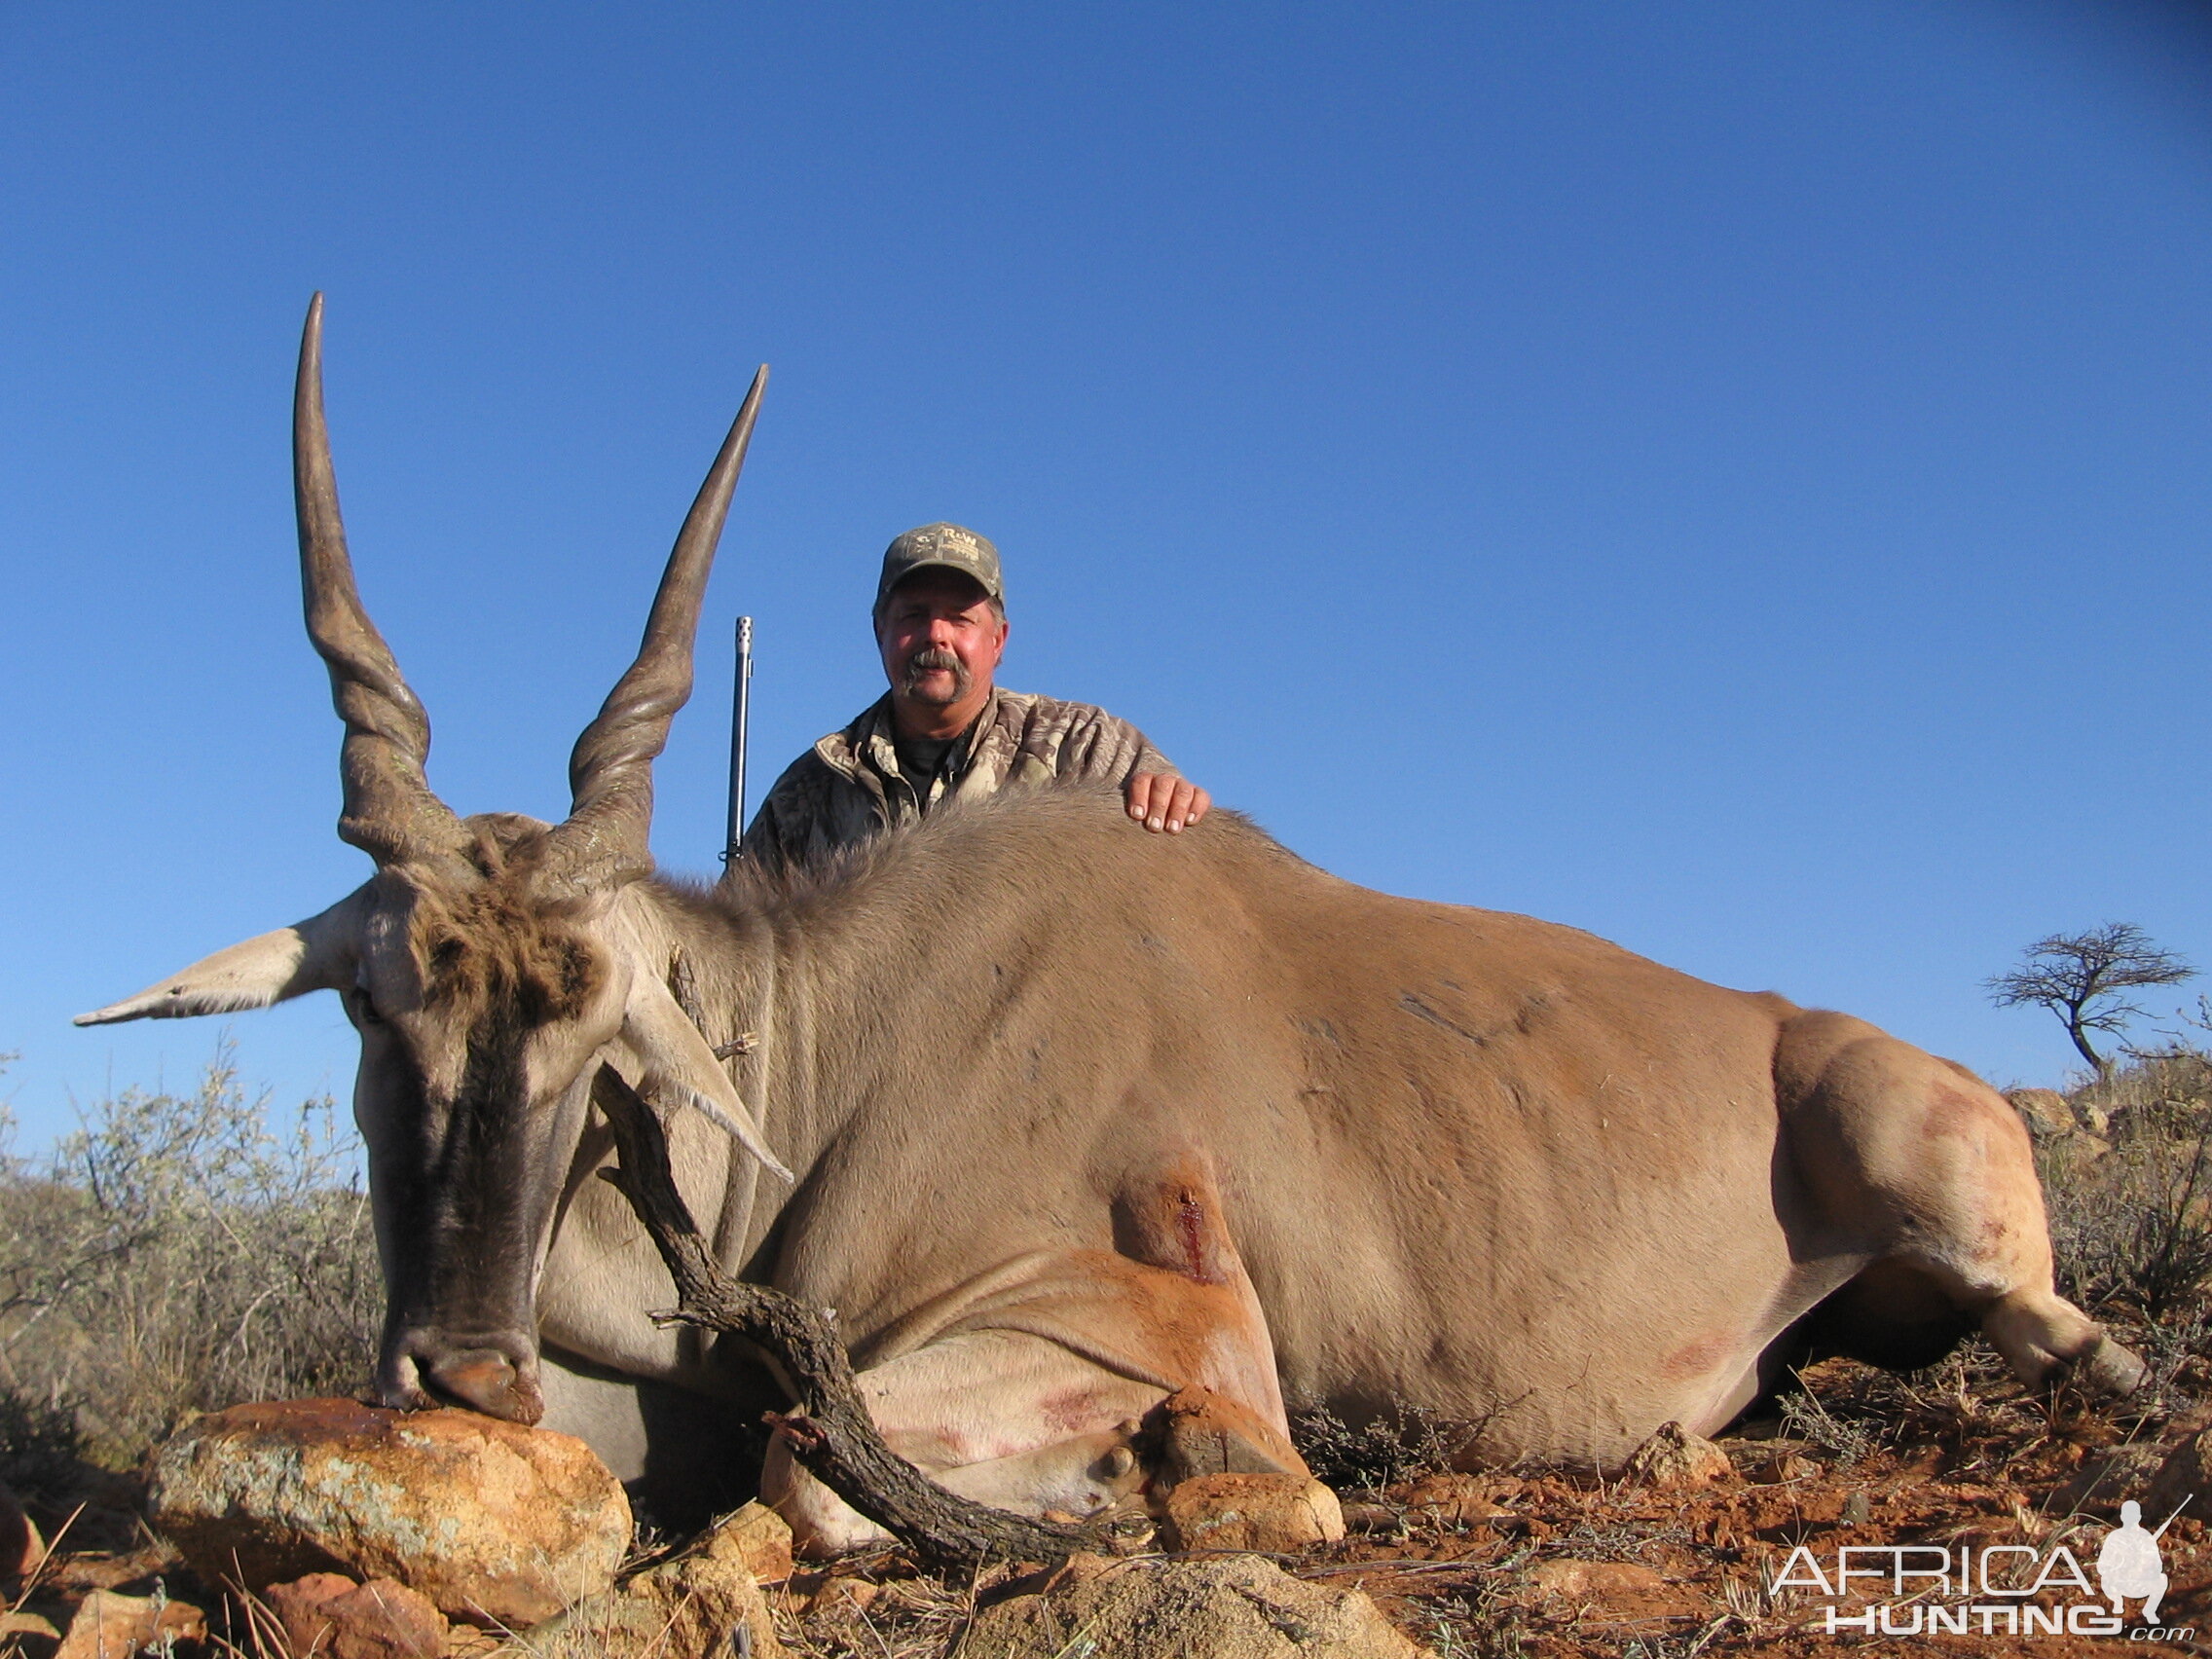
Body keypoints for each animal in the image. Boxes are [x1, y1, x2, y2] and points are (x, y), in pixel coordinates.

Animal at [86, 298, 2141, 1557]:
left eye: (602, 1029)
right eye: (376, 1012)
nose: (456, 1369)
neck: (834, 1036)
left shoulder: (1148, 1319)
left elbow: (821, 1474)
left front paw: (1222, 1499)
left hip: (1923, 1162)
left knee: (2066, 1334)